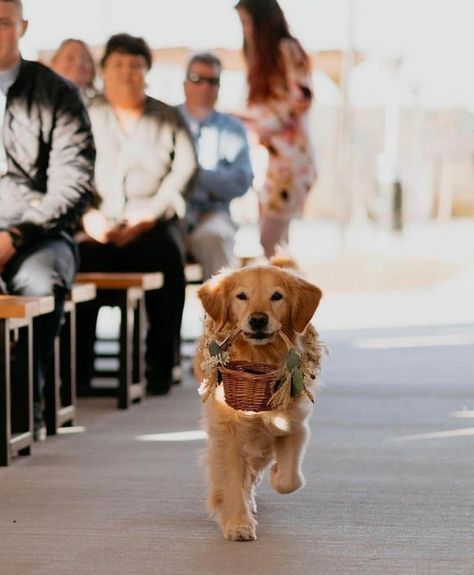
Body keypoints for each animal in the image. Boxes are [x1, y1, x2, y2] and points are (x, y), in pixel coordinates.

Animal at [193, 260, 322, 540]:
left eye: (277, 296)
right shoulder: (227, 433)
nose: (258, 320)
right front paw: (238, 524)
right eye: (242, 296)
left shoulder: (292, 423)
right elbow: (231, 478)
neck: (259, 356)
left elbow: (289, 480)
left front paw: (276, 474)